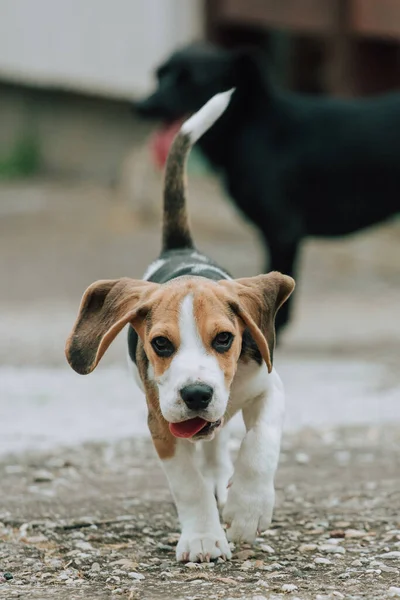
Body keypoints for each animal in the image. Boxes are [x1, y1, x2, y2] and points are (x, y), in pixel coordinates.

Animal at [65, 89, 294, 564]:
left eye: (225, 339)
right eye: (161, 345)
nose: (196, 395)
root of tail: (180, 248)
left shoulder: (268, 385)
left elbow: (260, 444)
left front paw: (248, 508)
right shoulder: (160, 421)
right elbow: (188, 483)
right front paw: (205, 537)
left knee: (221, 442)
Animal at [135, 42, 400, 332]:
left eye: (190, 80)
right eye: (160, 75)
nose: (142, 107)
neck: (257, 123)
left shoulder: (283, 234)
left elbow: (279, 315)